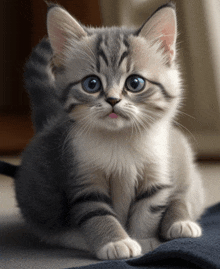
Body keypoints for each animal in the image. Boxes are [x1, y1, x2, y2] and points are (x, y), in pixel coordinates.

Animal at [12, 2, 205, 260]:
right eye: (91, 84)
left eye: (135, 83)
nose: (113, 100)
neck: (120, 139)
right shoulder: (83, 179)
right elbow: (97, 213)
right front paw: (116, 242)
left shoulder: (156, 175)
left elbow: (148, 212)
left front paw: (143, 239)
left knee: (182, 196)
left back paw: (181, 223)